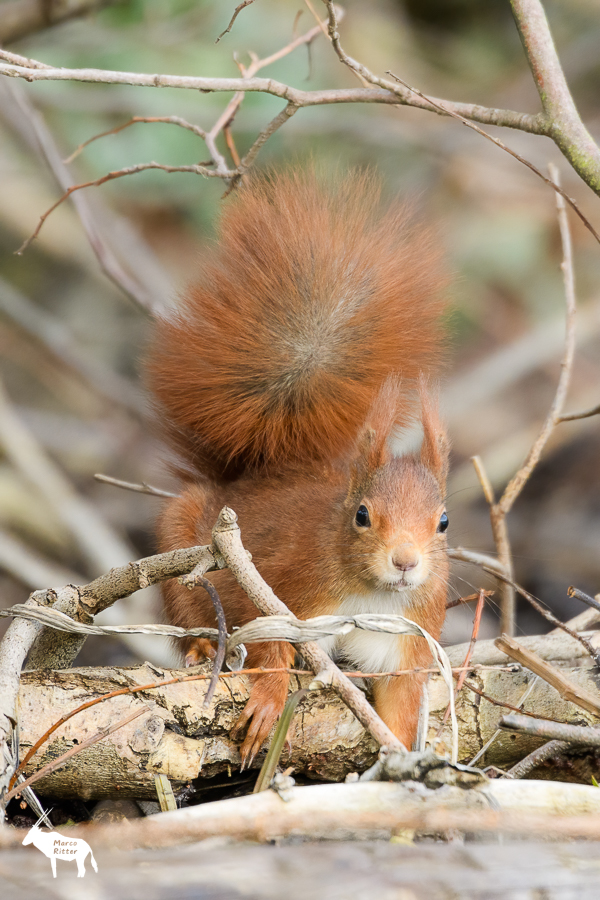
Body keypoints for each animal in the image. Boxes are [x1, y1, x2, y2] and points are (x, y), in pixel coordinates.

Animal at [148, 171, 450, 768]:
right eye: (362, 515)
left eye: (444, 522)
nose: (405, 563)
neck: (372, 594)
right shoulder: (283, 583)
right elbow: (268, 640)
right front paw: (269, 697)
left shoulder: (410, 639)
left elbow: (402, 705)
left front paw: (399, 759)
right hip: (182, 546)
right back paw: (201, 646)